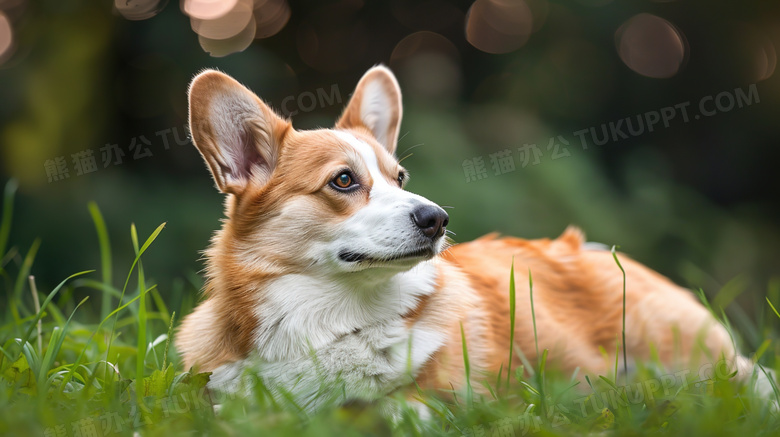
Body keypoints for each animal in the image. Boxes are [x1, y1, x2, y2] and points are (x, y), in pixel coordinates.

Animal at [177, 66, 756, 410]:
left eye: (401, 178)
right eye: (343, 180)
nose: (436, 218)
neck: (332, 322)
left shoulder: (430, 404)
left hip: (682, 351)